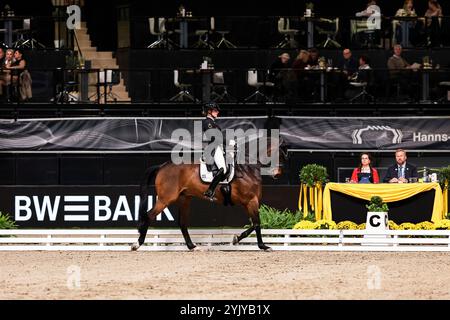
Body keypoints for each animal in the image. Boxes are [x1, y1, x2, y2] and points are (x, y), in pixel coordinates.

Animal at [130, 139, 286, 251]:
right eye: (281, 154)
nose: (278, 174)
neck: (248, 168)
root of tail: (162, 166)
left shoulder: (248, 203)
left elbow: (254, 223)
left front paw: (236, 239)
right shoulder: (251, 201)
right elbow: (258, 223)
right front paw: (263, 246)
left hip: (184, 198)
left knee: (182, 223)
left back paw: (192, 246)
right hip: (165, 199)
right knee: (149, 216)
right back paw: (137, 244)